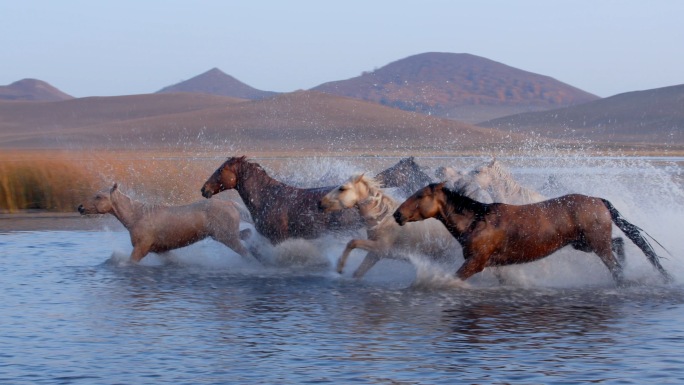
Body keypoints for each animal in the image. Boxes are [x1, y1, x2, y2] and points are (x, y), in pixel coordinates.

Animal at [78, 182, 260, 262]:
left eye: (98, 196)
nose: (80, 207)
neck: (137, 216)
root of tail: (231, 204)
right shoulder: (160, 250)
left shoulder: (141, 248)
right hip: (224, 234)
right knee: (246, 234)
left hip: (227, 237)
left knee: (245, 252)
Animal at [320, 173, 460, 276]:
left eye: (342, 188)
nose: (320, 203)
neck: (382, 220)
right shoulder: (375, 254)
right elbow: (358, 273)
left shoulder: (381, 248)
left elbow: (352, 242)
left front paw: (340, 267)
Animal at [392, 182, 672, 284]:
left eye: (420, 196)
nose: (397, 214)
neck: (477, 221)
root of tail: (598, 201)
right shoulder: (492, 263)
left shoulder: (475, 262)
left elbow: (453, 278)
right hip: (585, 243)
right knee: (619, 243)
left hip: (596, 245)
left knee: (614, 263)